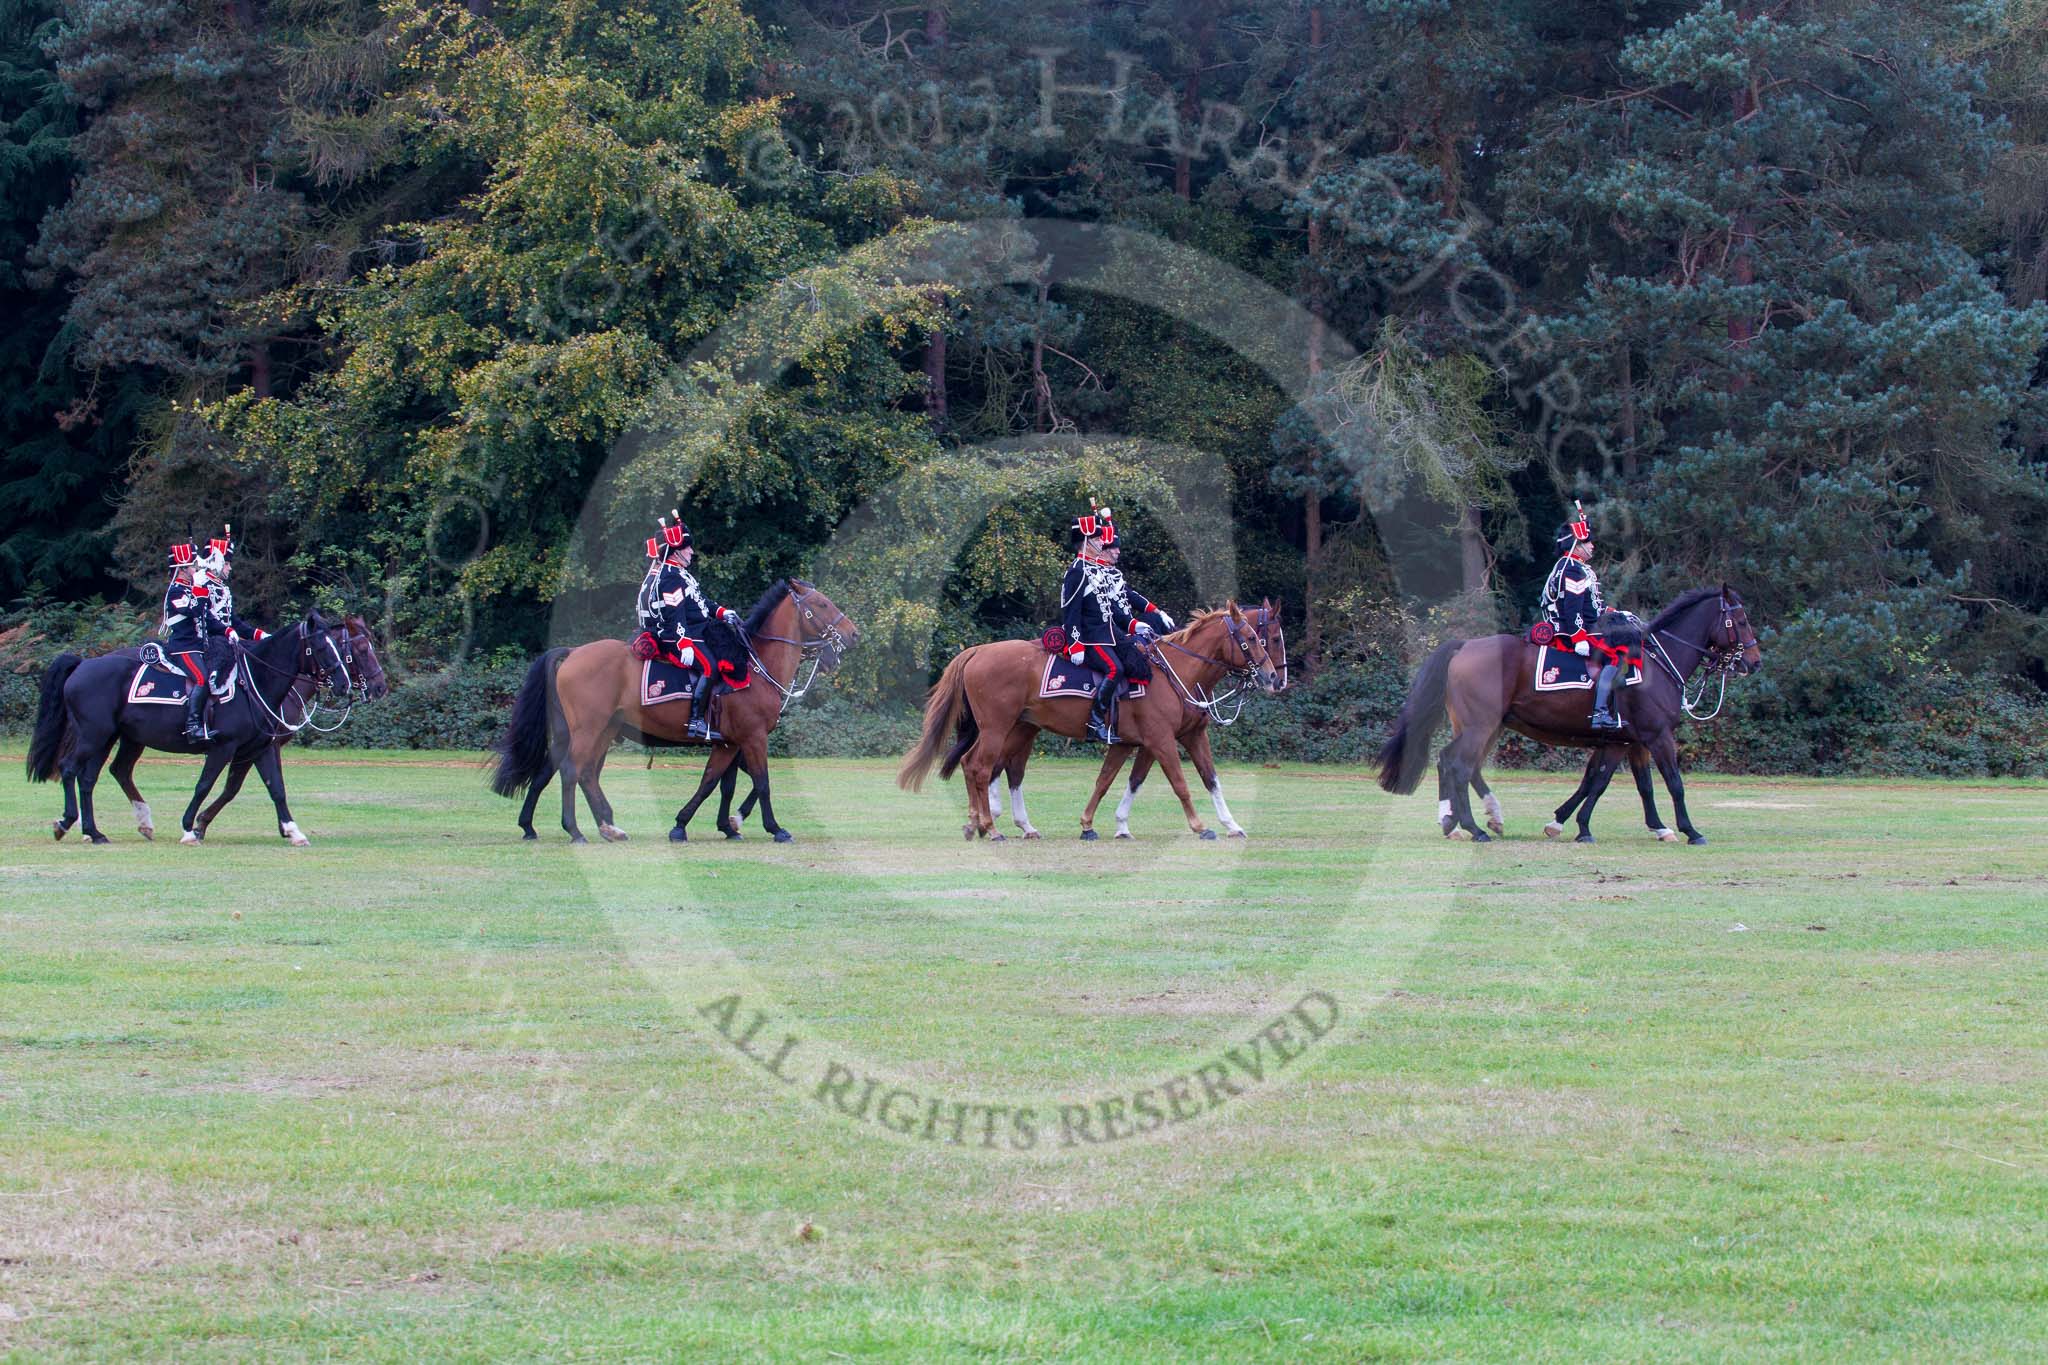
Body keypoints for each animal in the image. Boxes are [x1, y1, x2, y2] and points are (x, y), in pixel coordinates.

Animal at [25, 618, 376, 847]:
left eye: (340, 647)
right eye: (322, 647)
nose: (349, 685)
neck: (256, 681)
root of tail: (84, 664)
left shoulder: (262, 748)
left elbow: (274, 788)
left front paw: (292, 830)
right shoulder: (224, 747)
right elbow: (206, 785)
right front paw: (190, 828)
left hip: (114, 738)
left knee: (95, 776)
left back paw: (99, 831)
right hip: (94, 735)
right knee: (70, 769)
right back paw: (67, 823)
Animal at [493, 581, 856, 843]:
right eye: (821, 604)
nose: (853, 633)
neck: (754, 664)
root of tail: (573, 653)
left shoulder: (729, 743)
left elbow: (714, 782)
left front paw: (693, 825)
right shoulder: (753, 738)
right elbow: (761, 783)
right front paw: (773, 828)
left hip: (601, 731)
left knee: (581, 774)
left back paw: (601, 826)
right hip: (588, 729)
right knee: (570, 771)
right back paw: (575, 830)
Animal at [897, 601, 1277, 839]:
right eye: (1252, 639)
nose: (1273, 677)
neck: (1175, 671)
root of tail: (977, 650)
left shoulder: (1171, 738)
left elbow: (1113, 781)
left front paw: (1231, 824)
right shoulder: (1160, 740)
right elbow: (1180, 783)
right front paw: (1200, 827)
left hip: (1021, 728)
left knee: (989, 767)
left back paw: (987, 823)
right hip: (996, 728)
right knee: (979, 766)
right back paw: (990, 828)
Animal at [1376, 581, 1761, 839]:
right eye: (1741, 621)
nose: (1754, 662)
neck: (1657, 662)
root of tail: (1464, 645)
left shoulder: (1625, 741)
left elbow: (1614, 783)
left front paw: (1578, 822)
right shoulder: (1656, 736)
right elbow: (1672, 782)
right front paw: (1689, 830)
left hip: (1486, 726)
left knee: (1460, 765)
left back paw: (1462, 821)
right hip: (1479, 726)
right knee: (1457, 764)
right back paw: (1472, 827)